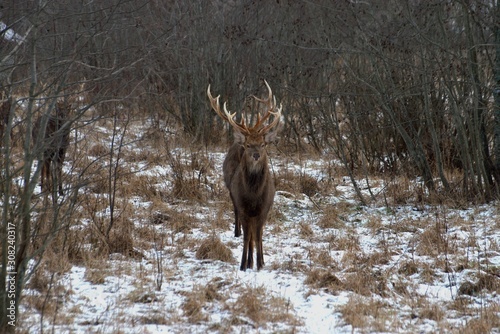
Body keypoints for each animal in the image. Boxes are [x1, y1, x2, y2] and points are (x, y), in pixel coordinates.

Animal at [206, 81, 282, 272]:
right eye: (248, 145)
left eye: (263, 144)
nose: (255, 155)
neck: (253, 195)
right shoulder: (243, 206)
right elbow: (248, 237)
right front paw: (244, 264)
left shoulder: (264, 208)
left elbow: (259, 235)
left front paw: (260, 263)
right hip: (233, 196)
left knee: (256, 234)